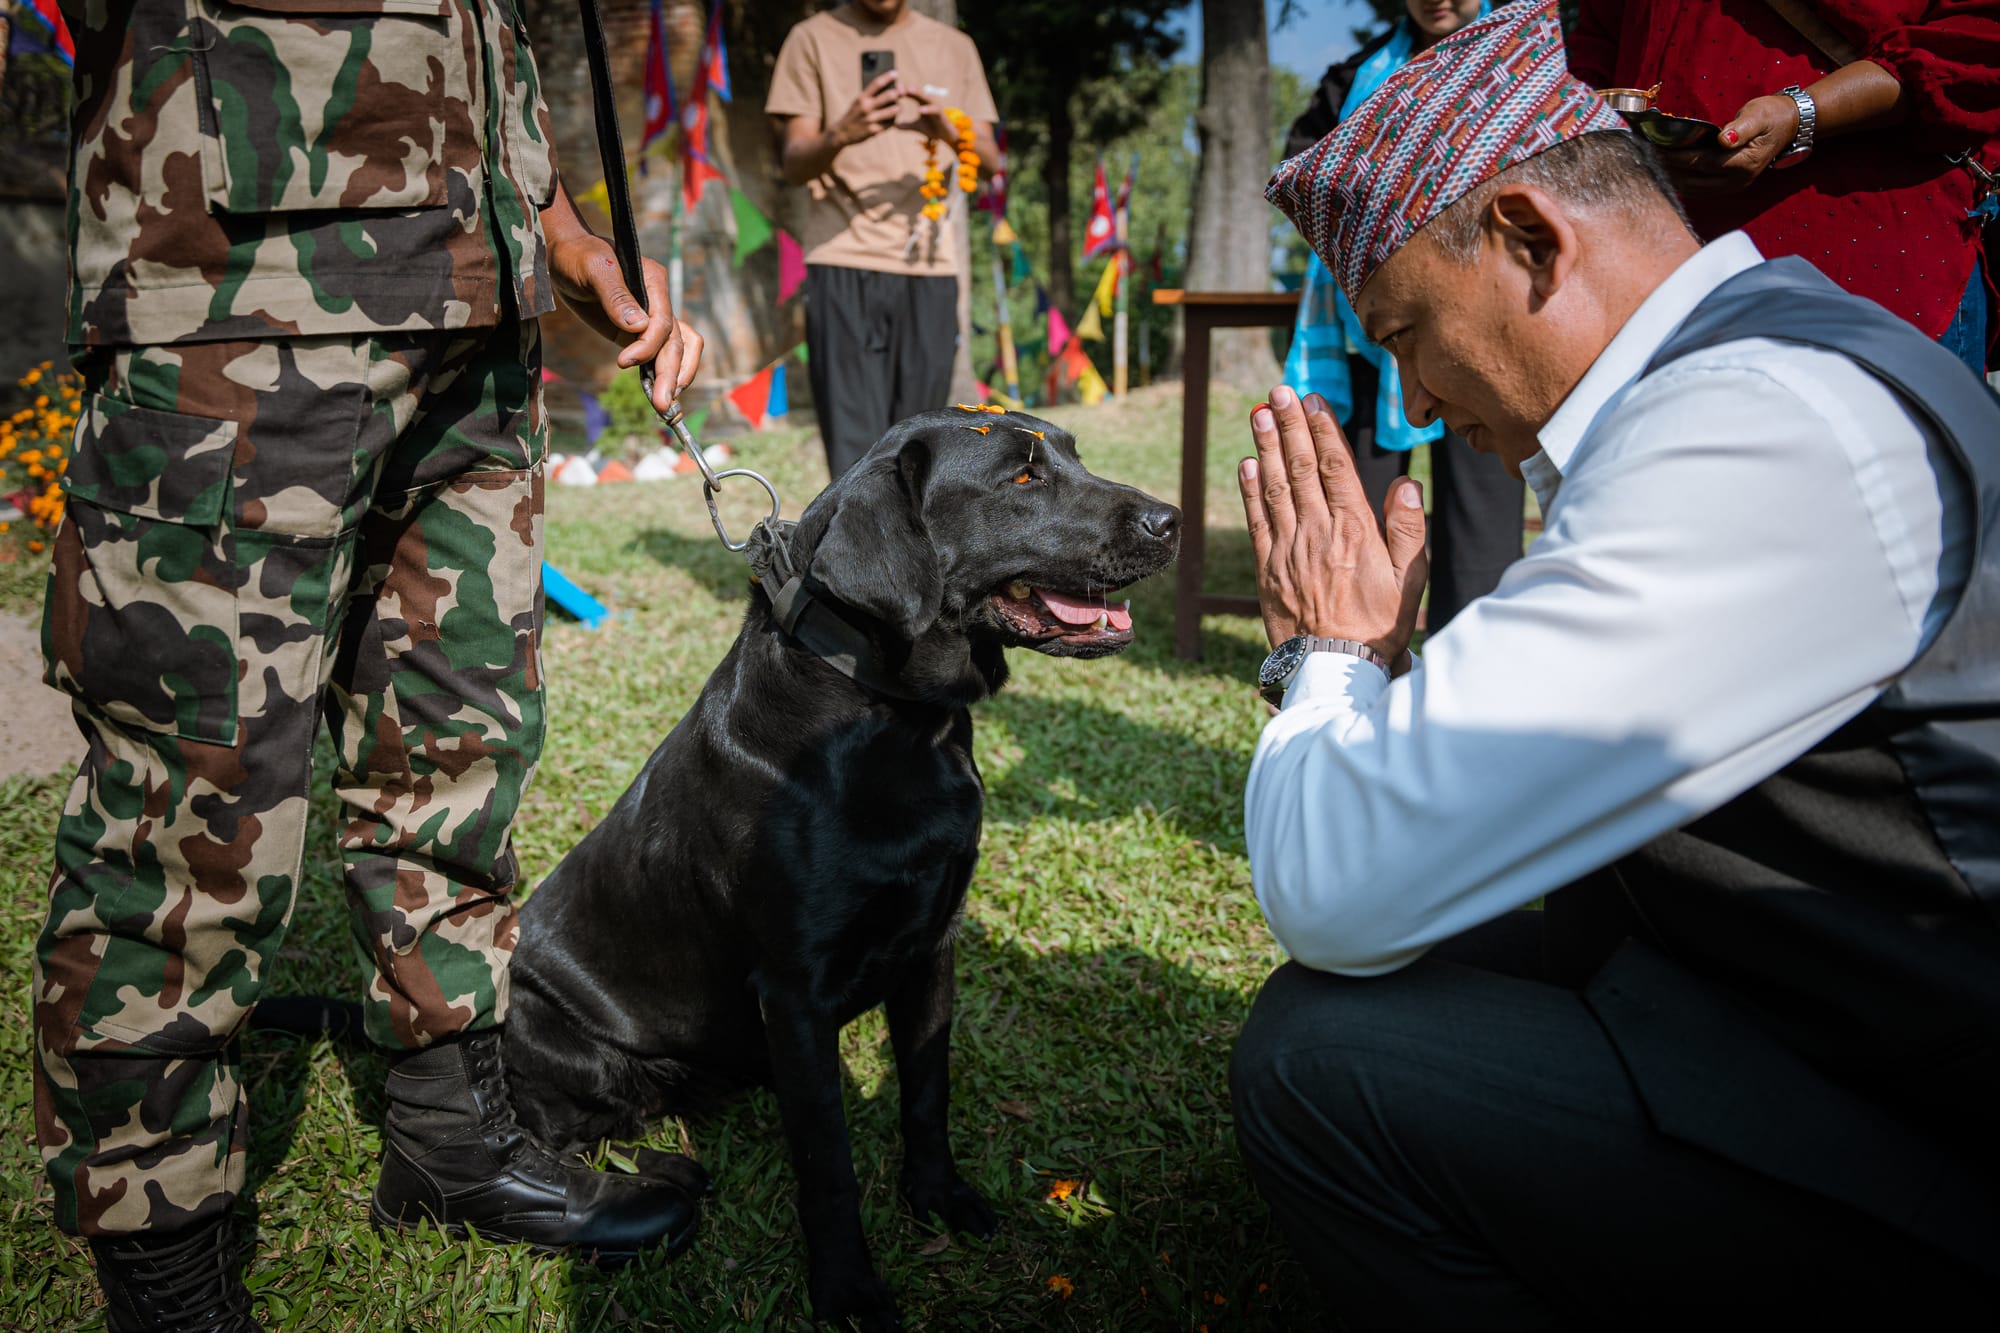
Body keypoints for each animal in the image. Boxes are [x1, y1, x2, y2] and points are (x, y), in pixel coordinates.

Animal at [500, 410, 1176, 1320]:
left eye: (1072, 453)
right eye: (1022, 477)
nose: (1172, 520)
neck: (896, 723)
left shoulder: (932, 945)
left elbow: (926, 1091)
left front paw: (937, 1196)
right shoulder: (795, 992)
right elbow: (827, 1156)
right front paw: (848, 1288)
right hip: (568, 1045)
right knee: (562, 1136)